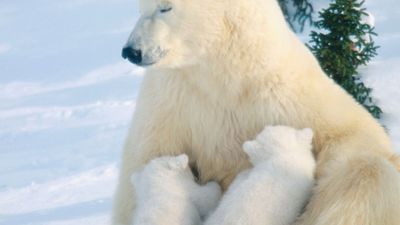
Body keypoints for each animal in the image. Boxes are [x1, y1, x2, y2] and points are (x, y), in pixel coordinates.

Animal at [111, 0, 400, 223]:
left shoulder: (283, 91)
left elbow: (353, 136)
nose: (131, 51)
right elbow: (145, 161)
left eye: (165, 7)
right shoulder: (173, 101)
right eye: (140, 8)